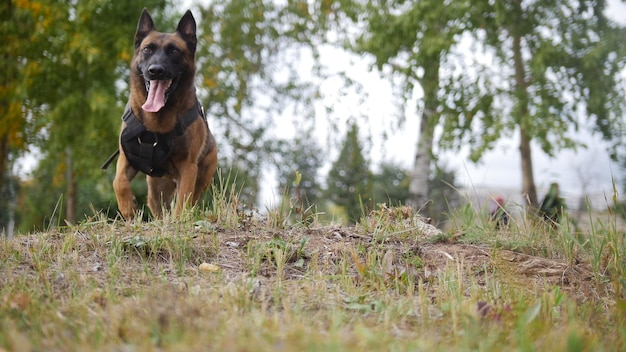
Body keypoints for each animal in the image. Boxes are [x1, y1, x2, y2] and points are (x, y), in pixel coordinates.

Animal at [111, 9, 217, 219]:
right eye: (147, 49)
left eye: (174, 51)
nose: (156, 71)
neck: (157, 122)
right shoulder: (126, 158)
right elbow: (118, 182)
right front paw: (128, 208)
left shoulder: (188, 167)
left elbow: (182, 202)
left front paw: (179, 222)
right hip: (156, 191)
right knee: (158, 207)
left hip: (201, 178)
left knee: (190, 201)